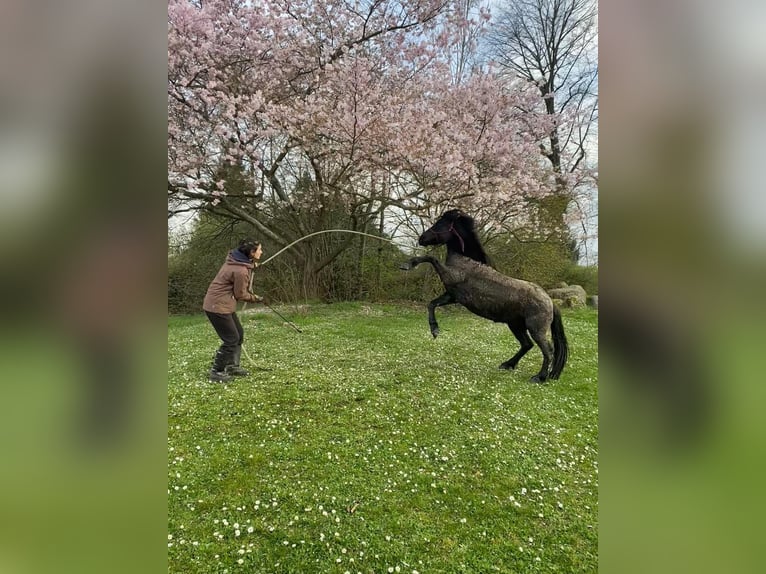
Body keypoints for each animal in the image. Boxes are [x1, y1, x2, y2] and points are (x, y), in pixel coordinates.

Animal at [402, 210, 568, 382]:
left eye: (440, 224)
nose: (422, 238)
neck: (465, 262)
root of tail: (550, 301)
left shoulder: (449, 278)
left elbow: (431, 258)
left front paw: (408, 264)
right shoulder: (452, 296)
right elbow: (432, 304)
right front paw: (435, 330)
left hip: (535, 329)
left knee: (547, 350)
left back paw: (539, 377)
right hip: (515, 325)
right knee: (527, 344)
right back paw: (508, 364)